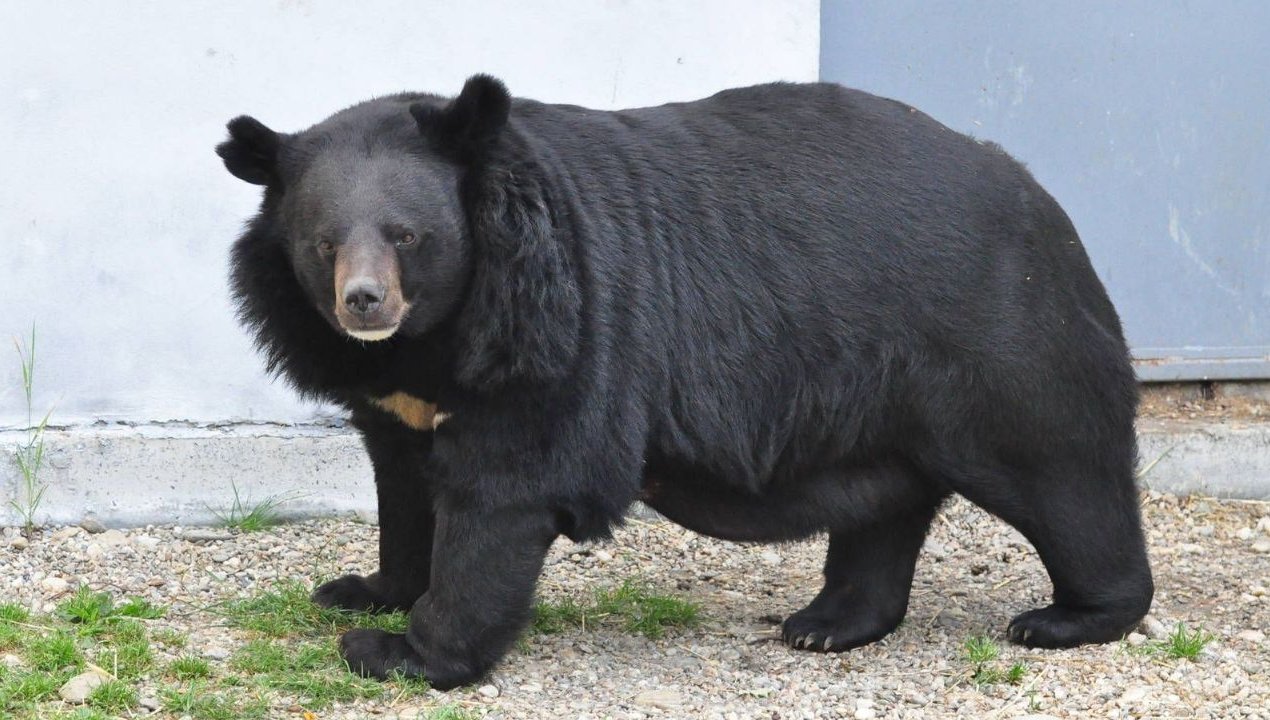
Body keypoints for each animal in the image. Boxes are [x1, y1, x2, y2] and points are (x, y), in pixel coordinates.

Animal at [215, 76, 1153, 690]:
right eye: (323, 244)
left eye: (407, 235)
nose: (364, 303)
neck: (434, 338)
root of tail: (1040, 197)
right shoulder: (392, 399)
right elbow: (405, 492)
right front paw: (362, 593)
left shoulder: (559, 336)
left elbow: (504, 494)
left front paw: (401, 653)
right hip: (876, 390)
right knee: (886, 501)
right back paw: (826, 625)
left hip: (999, 343)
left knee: (1061, 474)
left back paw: (1065, 618)